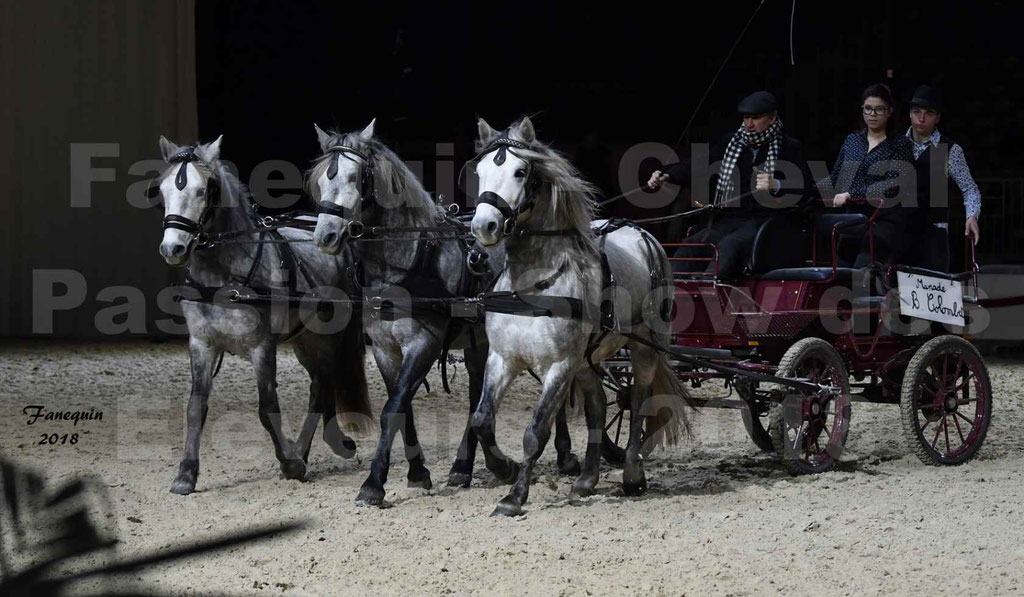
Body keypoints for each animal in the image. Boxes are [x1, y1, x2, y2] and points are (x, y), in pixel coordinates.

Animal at [468, 117, 696, 518]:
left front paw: (514, 496)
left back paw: (632, 475)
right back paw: (588, 479)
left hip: (645, 348)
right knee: (598, 406)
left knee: (637, 401)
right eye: (480, 172)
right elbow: (481, 420)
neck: (532, 283)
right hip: (588, 358)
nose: (484, 227)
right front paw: (504, 468)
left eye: (520, 171)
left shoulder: (559, 365)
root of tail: (643, 233)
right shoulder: (503, 359)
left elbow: (535, 432)